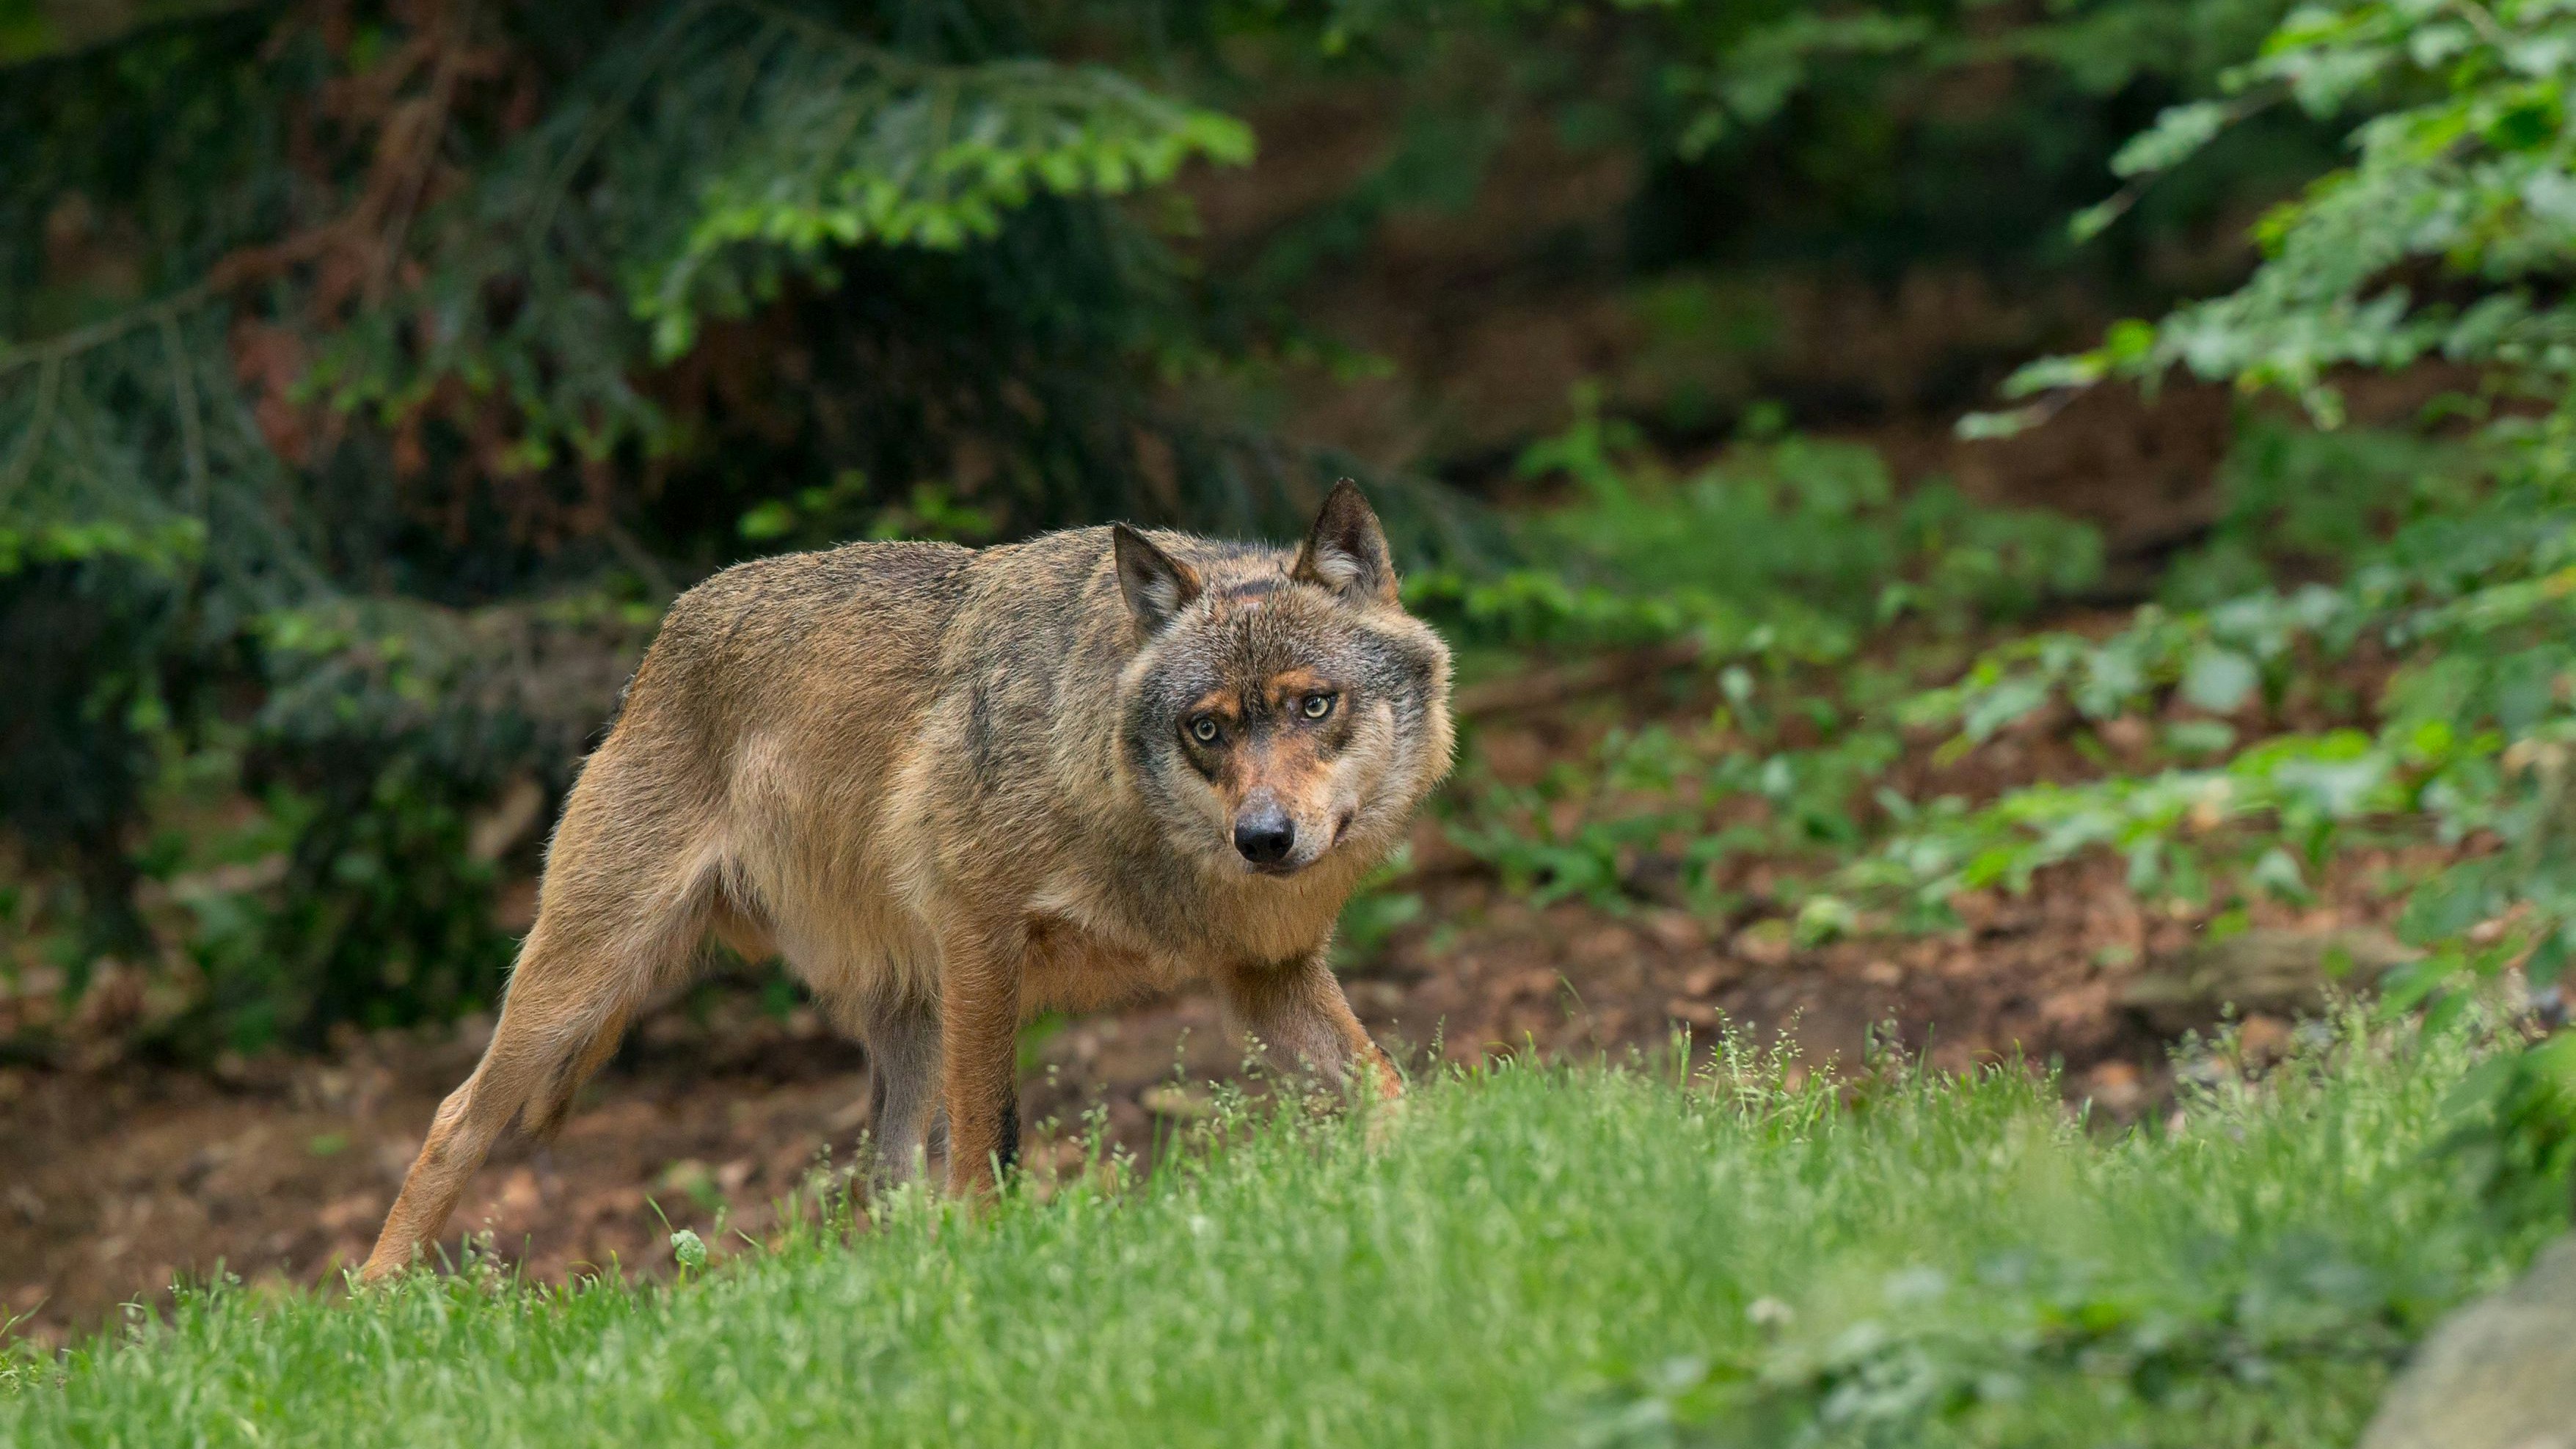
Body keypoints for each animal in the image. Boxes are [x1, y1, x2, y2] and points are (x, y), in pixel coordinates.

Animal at [360, 481, 1453, 1280]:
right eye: (1208, 728)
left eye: (1314, 705)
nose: (1262, 838)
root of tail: (666, 633)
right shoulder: (979, 940)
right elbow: (985, 1146)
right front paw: (991, 1256)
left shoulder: (1265, 973)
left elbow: (1386, 1085)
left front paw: (1448, 1159)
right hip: (578, 989)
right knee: (452, 1119)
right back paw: (373, 1304)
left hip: (905, 1025)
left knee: (878, 1186)